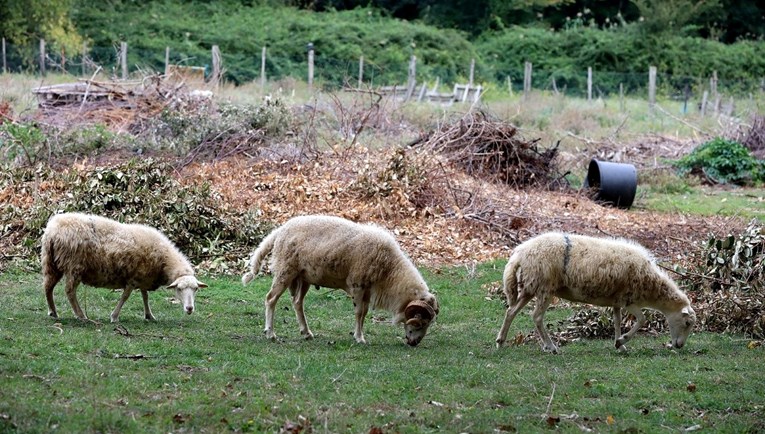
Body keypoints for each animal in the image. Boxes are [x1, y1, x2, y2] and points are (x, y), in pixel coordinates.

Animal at [40, 213, 207, 322]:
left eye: (195, 289)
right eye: (179, 289)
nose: (190, 309)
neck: (163, 260)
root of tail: (52, 231)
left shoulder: (144, 277)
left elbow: (145, 296)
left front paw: (149, 316)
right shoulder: (133, 278)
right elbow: (126, 297)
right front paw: (114, 317)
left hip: (51, 263)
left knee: (48, 286)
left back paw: (53, 312)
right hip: (74, 266)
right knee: (69, 291)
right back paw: (81, 316)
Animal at [242, 214, 438, 346]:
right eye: (420, 323)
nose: (414, 343)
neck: (390, 269)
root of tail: (279, 231)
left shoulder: (367, 290)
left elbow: (364, 312)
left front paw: (359, 335)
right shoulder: (357, 285)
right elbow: (359, 313)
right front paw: (359, 338)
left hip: (303, 277)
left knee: (297, 302)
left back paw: (306, 333)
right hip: (285, 271)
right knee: (271, 299)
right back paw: (270, 333)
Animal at [492, 231, 696, 352]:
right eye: (687, 323)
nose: (679, 345)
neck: (651, 285)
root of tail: (520, 252)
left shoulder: (617, 302)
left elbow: (617, 321)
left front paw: (619, 344)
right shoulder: (629, 300)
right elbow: (642, 319)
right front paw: (623, 340)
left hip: (530, 287)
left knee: (511, 311)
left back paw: (500, 341)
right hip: (544, 287)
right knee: (536, 317)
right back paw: (551, 346)